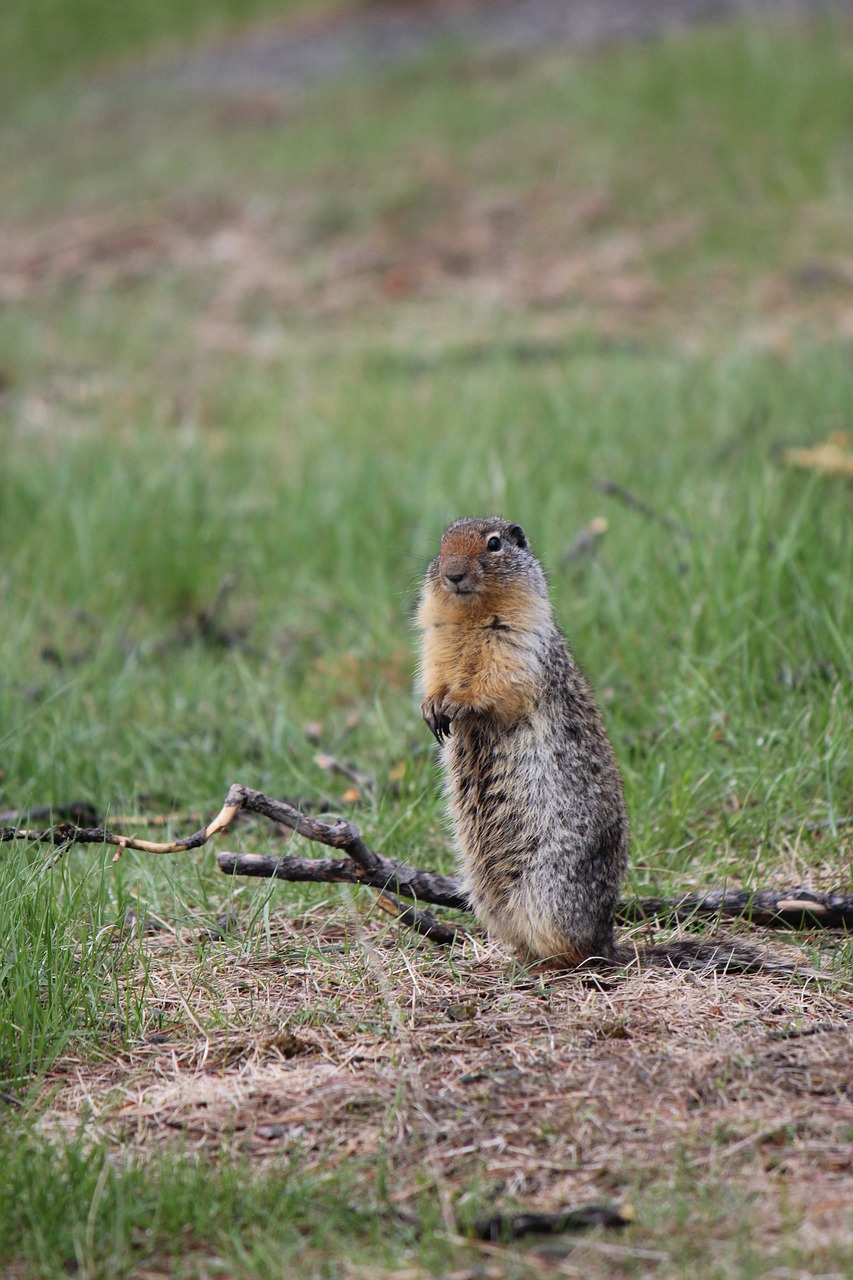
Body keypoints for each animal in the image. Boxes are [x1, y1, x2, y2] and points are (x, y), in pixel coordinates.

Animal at [417, 512, 778, 967]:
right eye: (442, 544)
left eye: (494, 543)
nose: (452, 574)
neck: (470, 615)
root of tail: (607, 940)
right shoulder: (434, 640)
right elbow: (434, 674)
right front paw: (432, 706)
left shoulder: (520, 643)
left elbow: (498, 683)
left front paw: (458, 703)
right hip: (485, 890)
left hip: (548, 888)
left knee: (576, 954)